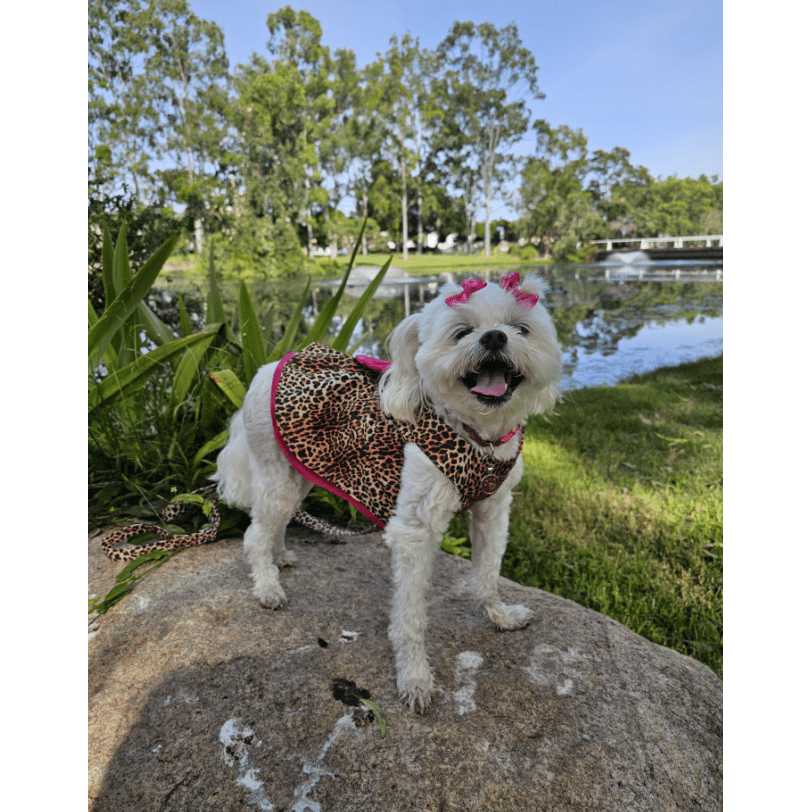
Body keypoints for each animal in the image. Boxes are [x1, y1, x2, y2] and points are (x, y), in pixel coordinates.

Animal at [213, 272, 560, 712]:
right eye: (462, 332)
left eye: (520, 328)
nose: (495, 337)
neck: (474, 434)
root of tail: (266, 366)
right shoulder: (414, 532)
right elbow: (410, 618)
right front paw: (414, 679)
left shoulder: (494, 510)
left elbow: (486, 574)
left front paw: (498, 616)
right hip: (277, 475)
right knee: (255, 533)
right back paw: (268, 585)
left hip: (302, 469)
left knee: (278, 522)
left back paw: (280, 557)